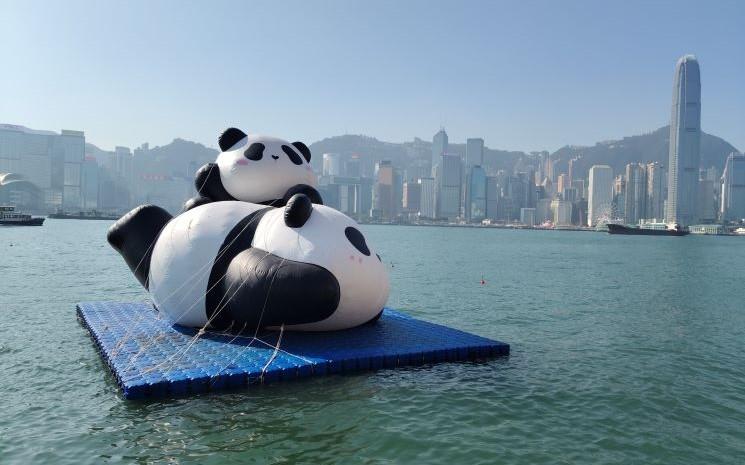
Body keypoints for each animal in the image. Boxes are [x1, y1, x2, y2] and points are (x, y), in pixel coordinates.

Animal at [107, 194, 389, 331]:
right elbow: (269, 283)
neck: (269, 227)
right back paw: (121, 226)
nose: (376, 260)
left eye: (367, 247)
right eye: (357, 240)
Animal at [183, 128, 322, 211]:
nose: (275, 156)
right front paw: (209, 170)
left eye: (291, 155)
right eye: (256, 151)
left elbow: (311, 195)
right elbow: (208, 181)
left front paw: (298, 192)